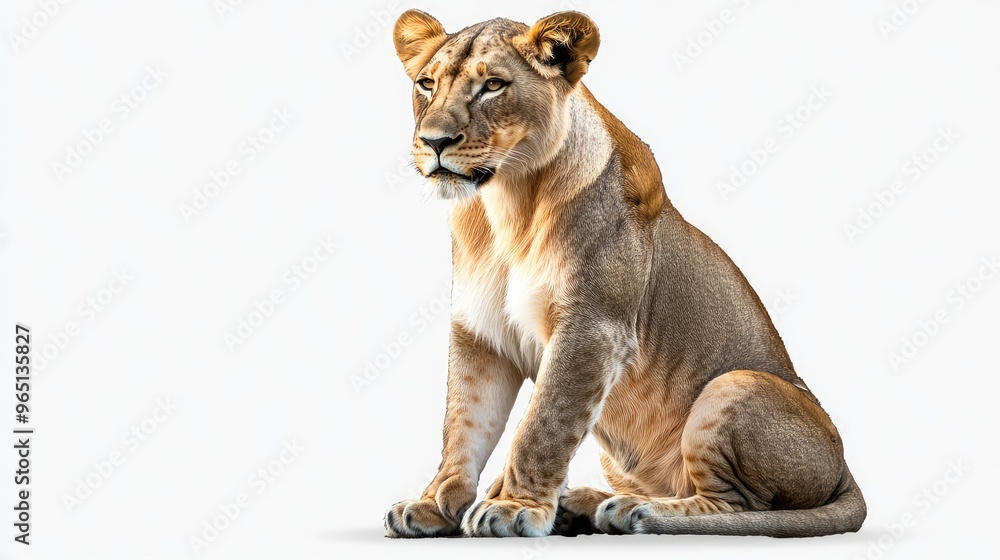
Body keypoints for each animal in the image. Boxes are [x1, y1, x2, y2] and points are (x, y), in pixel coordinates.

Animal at [383, 10, 866, 538]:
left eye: (493, 85)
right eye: (426, 84)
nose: (433, 142)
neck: (505, 206)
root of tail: (844, 469)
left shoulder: (592, 328)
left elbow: (542, 427)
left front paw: (513, 508)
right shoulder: (479, 333)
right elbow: (463, 427)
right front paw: (434, 504)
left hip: (734, 385)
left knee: (736, 506)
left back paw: (633, 512)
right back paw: (583, 504)